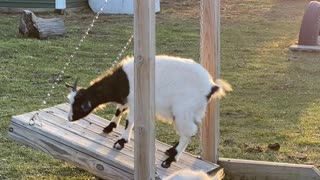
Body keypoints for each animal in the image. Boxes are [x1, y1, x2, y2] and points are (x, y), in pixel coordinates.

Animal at [65, 55, 231, 169]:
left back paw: (169, 161)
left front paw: (121, 142)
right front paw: (109, 127)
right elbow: (119, 109)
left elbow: (130, 120)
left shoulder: (135, 101)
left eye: (79, 106)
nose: (69, 118)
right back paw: (171, 151)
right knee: (193, 130)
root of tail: (212, 87)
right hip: (193, 111)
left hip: (183, 111)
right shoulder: (128, 99)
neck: (124, 81)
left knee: (189, 132)